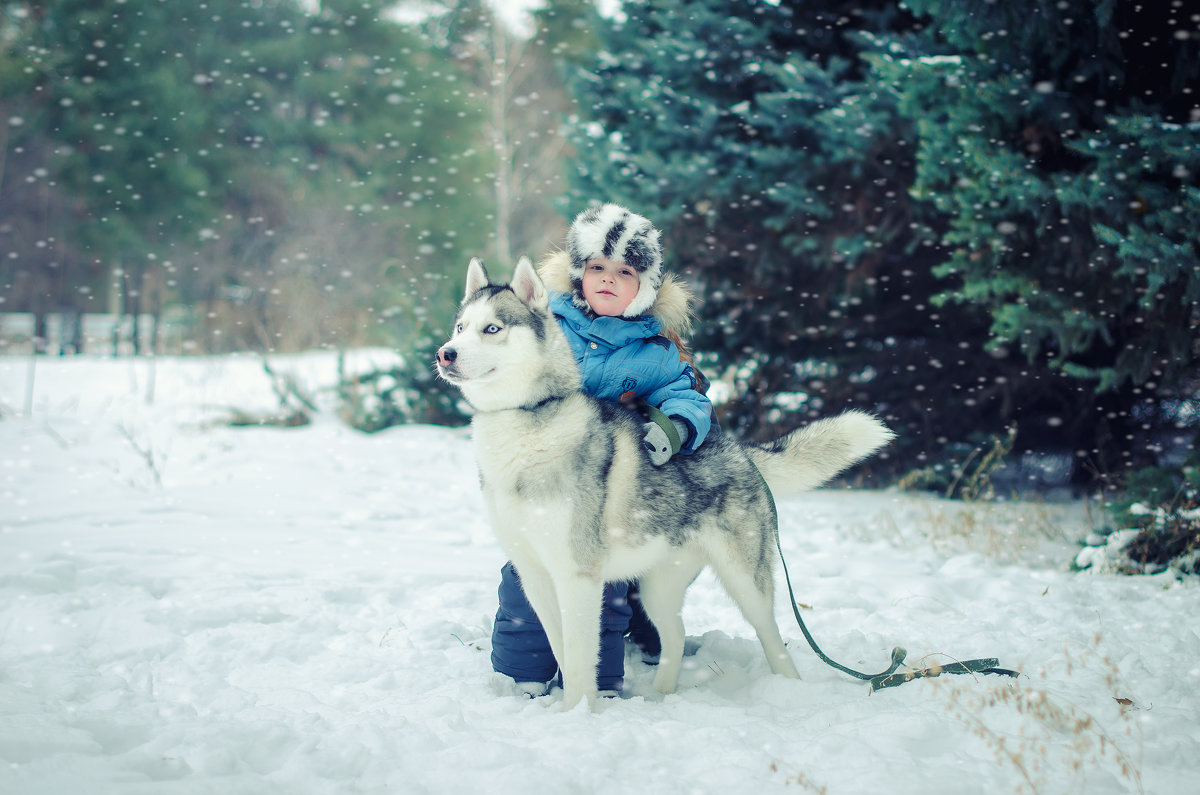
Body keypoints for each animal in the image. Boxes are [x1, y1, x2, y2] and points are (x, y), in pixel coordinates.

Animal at [436, 258, 897, 710]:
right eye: (460, 327)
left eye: (492, 328)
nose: (445, 354)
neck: (527, 423)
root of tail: (739, 450)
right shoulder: (535, 576)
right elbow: (561, 651)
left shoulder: (578, 577)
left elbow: (581, 659)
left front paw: (578, 715)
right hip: (657, 585)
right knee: (675, 635)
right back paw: (661, 695)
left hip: (745, 581)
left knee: (773, 636)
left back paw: (788, 691)